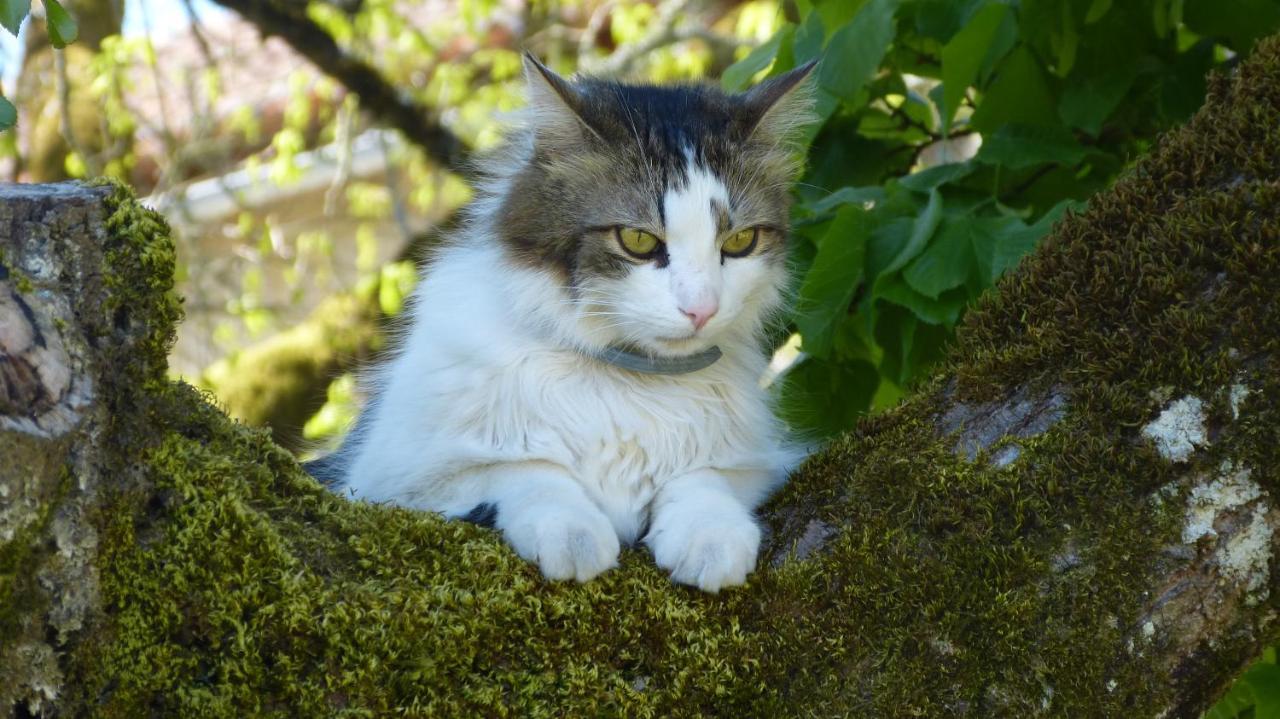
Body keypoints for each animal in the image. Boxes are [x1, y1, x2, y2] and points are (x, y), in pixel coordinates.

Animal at [304, 55, 814, 591]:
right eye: (637, 240)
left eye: (739, 242)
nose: (702, 310)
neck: (630, 383)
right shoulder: (391, 475)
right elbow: (530, 470)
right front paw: (573, 536)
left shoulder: (758, 463)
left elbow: (704, 480)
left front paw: (711, 538)